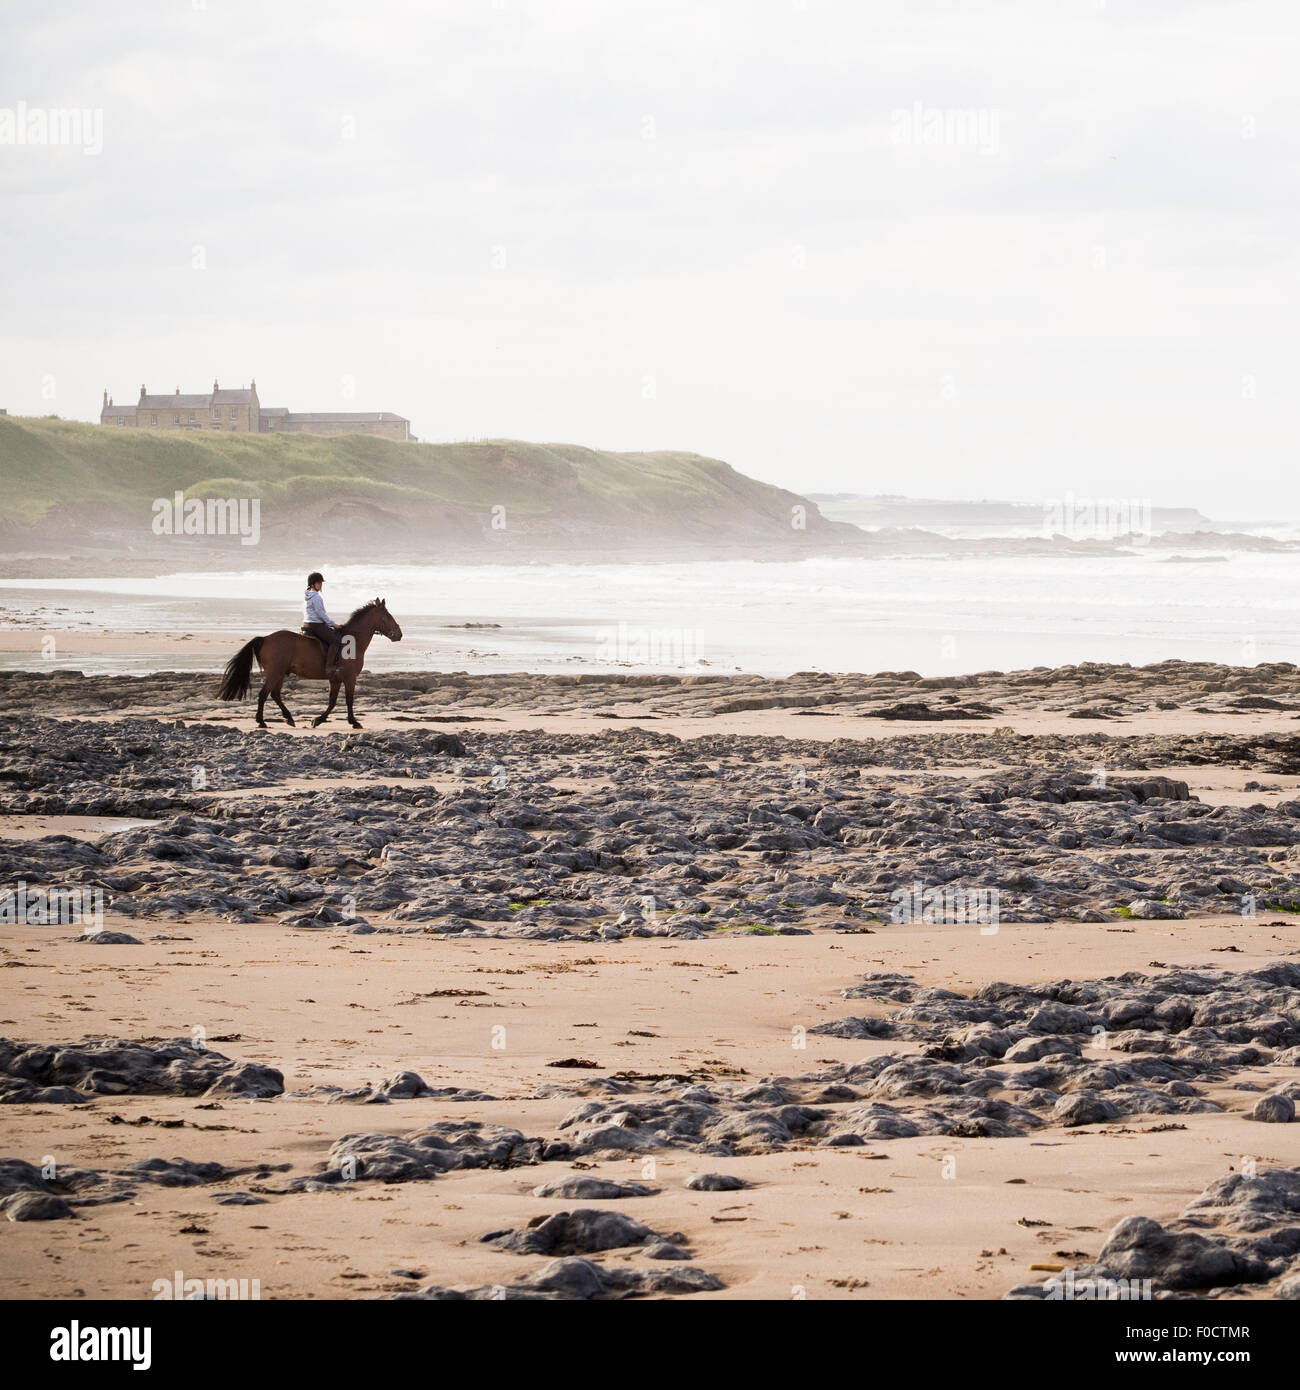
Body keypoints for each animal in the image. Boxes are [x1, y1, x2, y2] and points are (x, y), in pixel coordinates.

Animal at [215, 594, 403, 728]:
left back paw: (289, 718)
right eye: (387, 616)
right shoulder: (350, 678)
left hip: (280, 673)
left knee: (275, 694)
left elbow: (332, 702)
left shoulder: (335, 679)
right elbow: (349, 700)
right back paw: (262, 721)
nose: (399, 635)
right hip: (275, 672)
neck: (353, 640)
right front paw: (354, 722)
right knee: (264, 694)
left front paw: (318, 720)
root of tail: (266, 638)